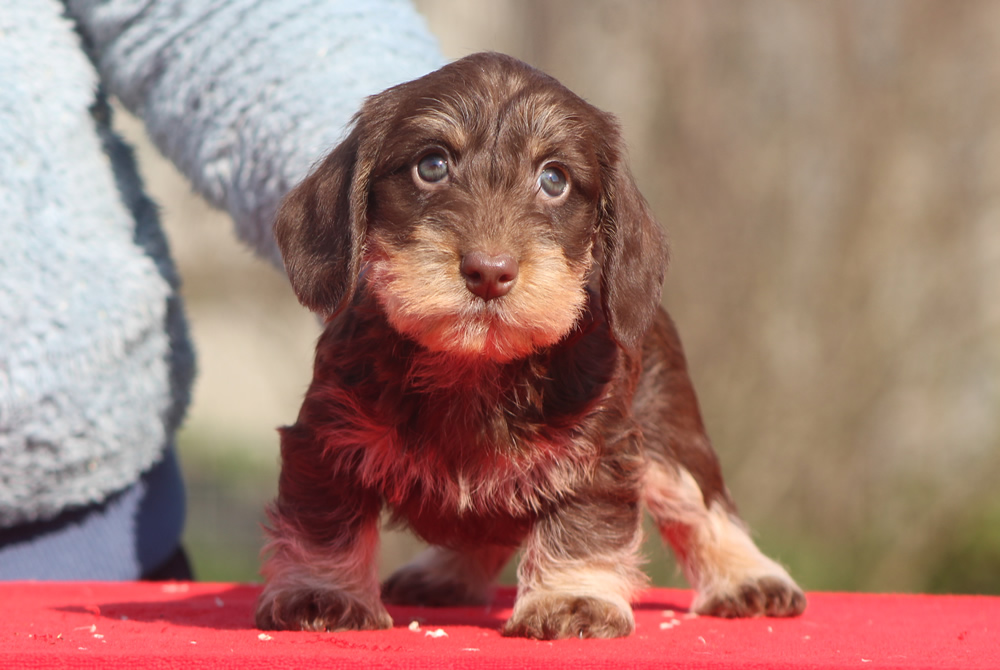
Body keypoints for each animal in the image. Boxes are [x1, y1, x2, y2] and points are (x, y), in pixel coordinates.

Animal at [256, 51, 804, 640]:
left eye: (554, 179)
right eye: (432, 166)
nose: (489, 272)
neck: (475, 365)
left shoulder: (599, 453)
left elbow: (581, 528)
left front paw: (571, 597)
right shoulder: (326, 441)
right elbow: (325, 523)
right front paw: (322, 592)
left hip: (669, 434)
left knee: (702, 503)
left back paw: (748, 576)